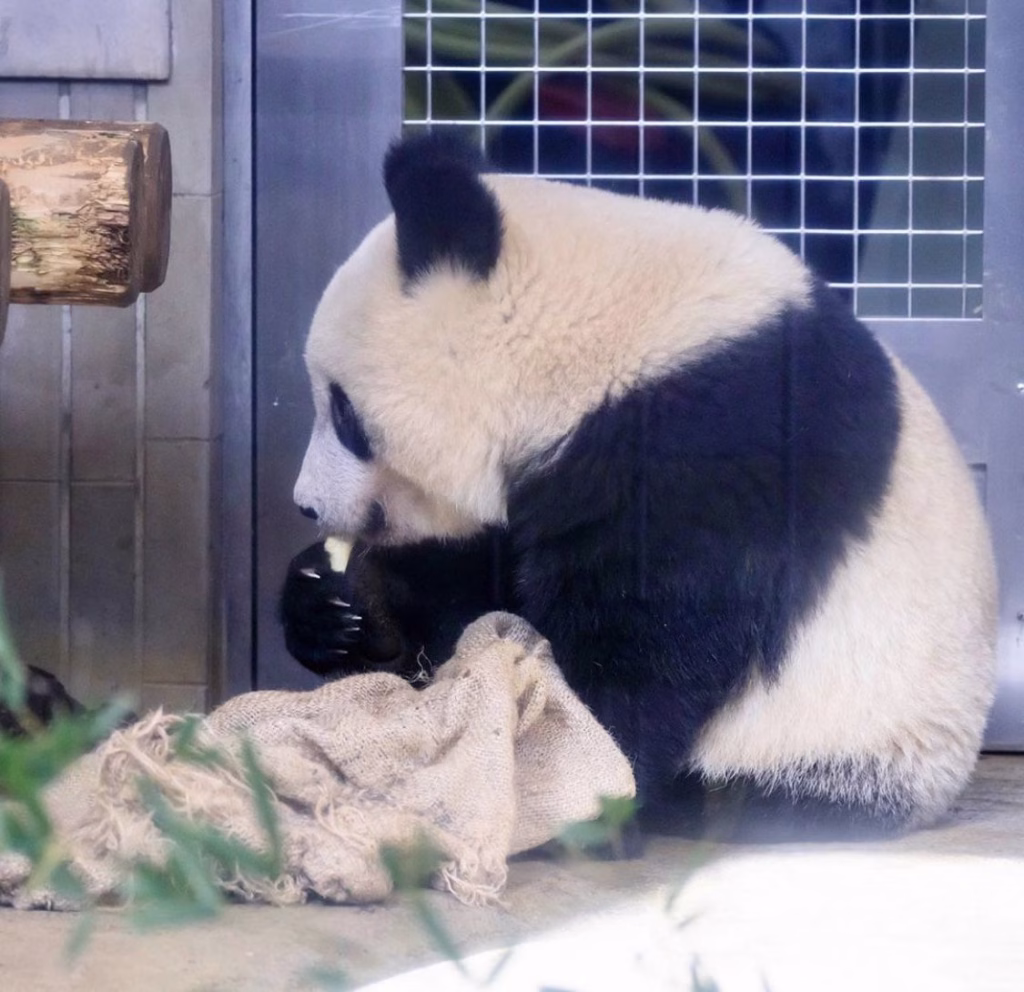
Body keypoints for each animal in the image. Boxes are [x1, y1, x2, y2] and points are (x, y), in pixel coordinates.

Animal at [281, 132, 998, 841]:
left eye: (343, 412)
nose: (306, 503)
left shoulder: (709, 443)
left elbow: (651, 641)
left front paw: (566, 772)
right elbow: (483, 585)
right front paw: (339, 603)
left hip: (853, 740)